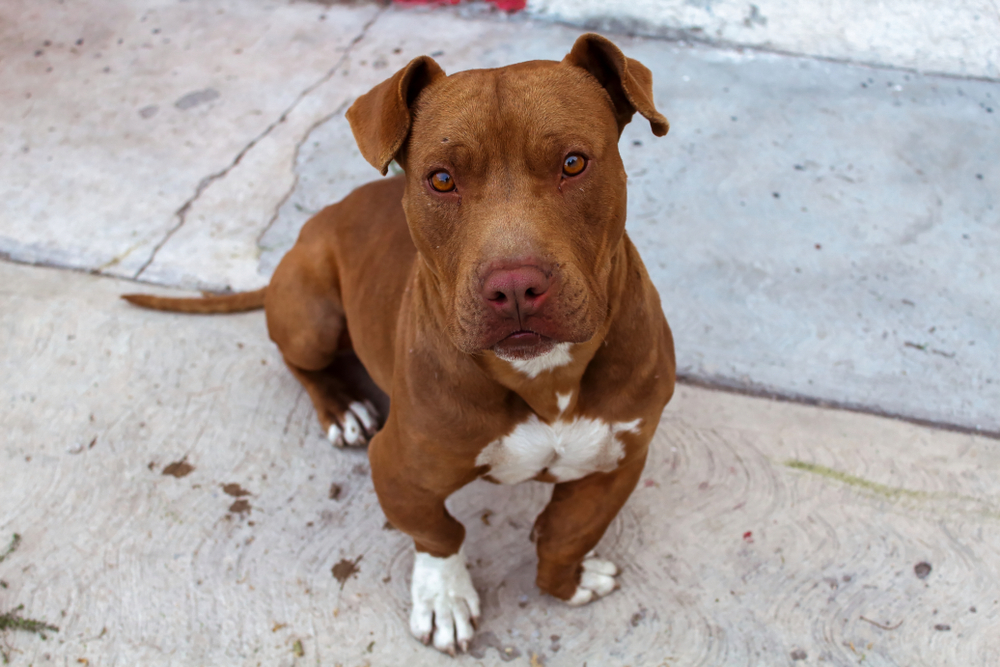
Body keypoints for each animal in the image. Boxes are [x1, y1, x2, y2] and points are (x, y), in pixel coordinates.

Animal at [123, 32, 672, 656]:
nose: (514, 287)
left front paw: (569, 579)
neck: (545, 378)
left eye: (574, 163)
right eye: (441, 179)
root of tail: (319, 221)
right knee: (299, 361)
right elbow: (437, 531)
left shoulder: (620, 460)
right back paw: (343, 407)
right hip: (310, 315)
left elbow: (565, 534)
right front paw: (443, 598)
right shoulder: (398, 466)